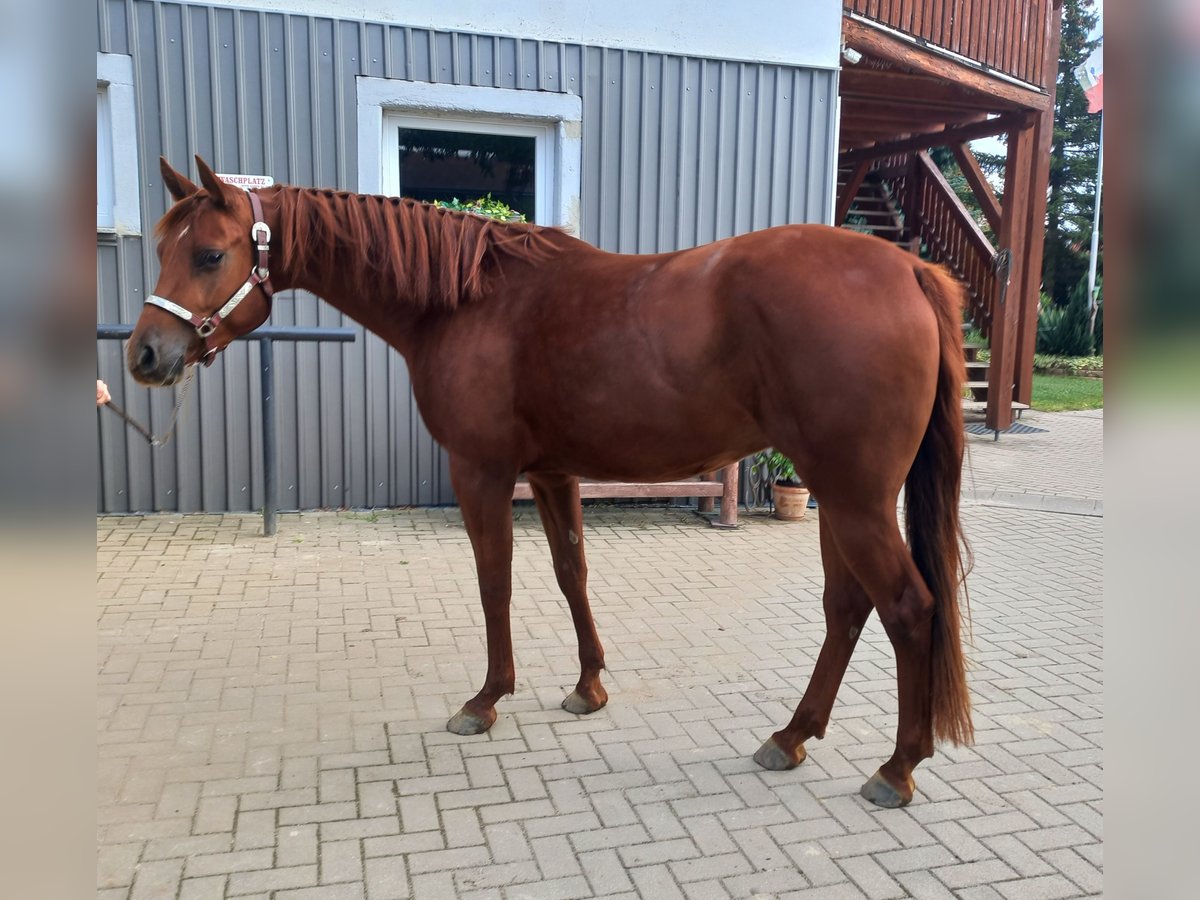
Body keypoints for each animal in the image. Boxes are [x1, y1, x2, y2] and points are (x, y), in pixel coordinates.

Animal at [129, 157, 974, 811]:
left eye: (209, 255)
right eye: (165, 247)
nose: (144, 354)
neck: (469, 300)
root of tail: (907, 267)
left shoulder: (482, 472)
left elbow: (494, 581)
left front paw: (485, 700)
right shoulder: (552, 473)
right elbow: (573, 573)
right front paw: (588, 687)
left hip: (857, 498)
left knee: (908, 607)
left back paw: (896, 769)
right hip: (840, 496)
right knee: (846, 608)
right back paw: (792, 736)